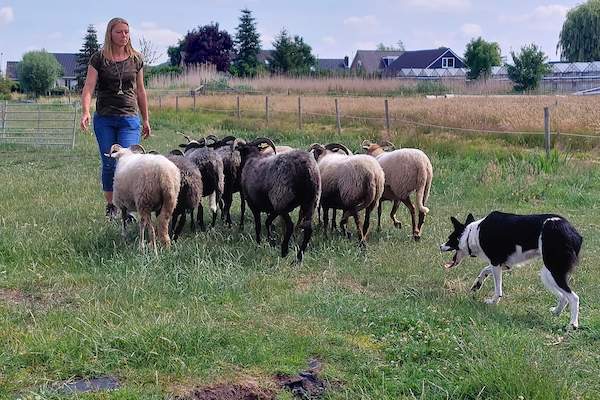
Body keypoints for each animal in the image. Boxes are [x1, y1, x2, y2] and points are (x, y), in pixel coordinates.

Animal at [438, 212, 584, 328]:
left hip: (553, 272)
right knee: (564, 297)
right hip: (547, 274)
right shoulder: (503, 264)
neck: (472, 233)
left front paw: (492, 302)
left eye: (450, 238)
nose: (440, 246)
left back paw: (573, 324)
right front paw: (477, 285)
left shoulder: (495, 263)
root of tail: (574, 233)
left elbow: (498, 290)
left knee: (573, 297)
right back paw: (556, 312)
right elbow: (484, 270)